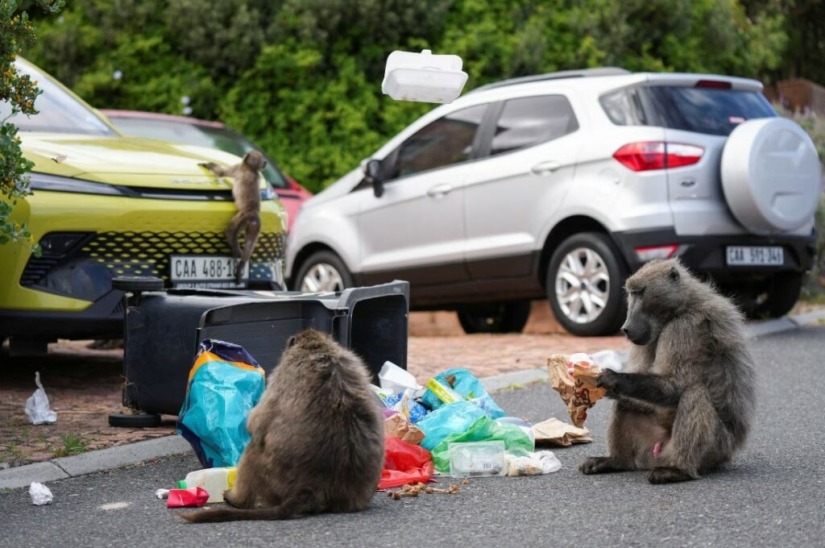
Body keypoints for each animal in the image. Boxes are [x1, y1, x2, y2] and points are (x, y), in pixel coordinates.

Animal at [180, 328, 385, 523]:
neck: (317, 348)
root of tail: (314, 489)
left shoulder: (281, 374)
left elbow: (256, 422)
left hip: (273, 479)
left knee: (255, 445)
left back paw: (237, 500)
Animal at [199, 151, 266, 284]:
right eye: (261, 157)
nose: (265, 161)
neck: (250, 168)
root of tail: (253, 213)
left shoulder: (238, 168)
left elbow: (221, 172)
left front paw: (205, 164)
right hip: (255, 226)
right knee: (250, 244)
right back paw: (242, 264)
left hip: (241, 218)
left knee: (230, 232)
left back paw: (236, 254)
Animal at [579, 258, 756, 484]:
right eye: (631, 293)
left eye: (640, 292)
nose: (625, 328)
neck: (681, 307)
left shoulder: (684, 328)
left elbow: (676, 386)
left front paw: (614, 378)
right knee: (624, 405)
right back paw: (616, 461)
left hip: (717, 449)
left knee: (695, 395)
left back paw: (678, 470)